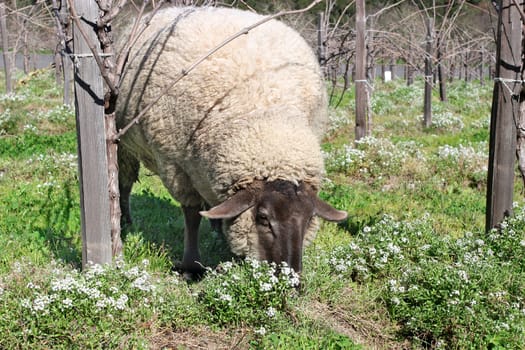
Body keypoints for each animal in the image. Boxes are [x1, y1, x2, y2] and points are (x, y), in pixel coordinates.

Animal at [116, 4, 346, 274]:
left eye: (310, 218)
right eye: (263, 218)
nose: (291, 278)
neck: (266, 113)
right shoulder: (175, 165)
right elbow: (191, 215)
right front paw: (191, 266)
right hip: (123, 142)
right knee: (124, 183)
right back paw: (125, 221)